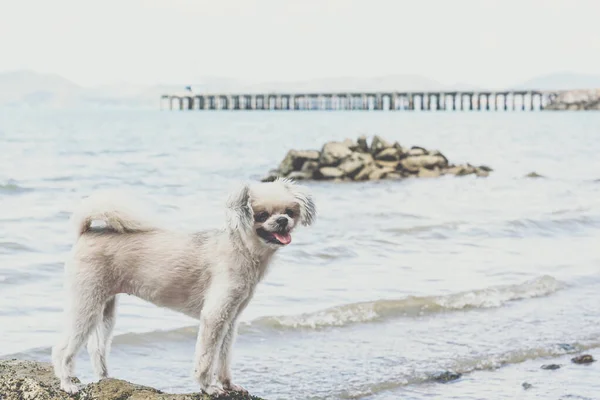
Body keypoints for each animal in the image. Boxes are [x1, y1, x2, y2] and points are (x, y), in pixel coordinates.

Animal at [51, 180, 316, 396]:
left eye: (289, 212)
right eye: (261, 215)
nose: (282, 221)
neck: (241, 248)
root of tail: (87, 231)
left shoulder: (229, 320)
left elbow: (223, 357)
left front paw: (228, 384)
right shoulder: (214, 317)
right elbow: (207, 358)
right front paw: (208, 387)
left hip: (105, 309)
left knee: (96, 347)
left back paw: (106, 379)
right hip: (86, 305)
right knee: (62, 349)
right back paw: (67, 383)